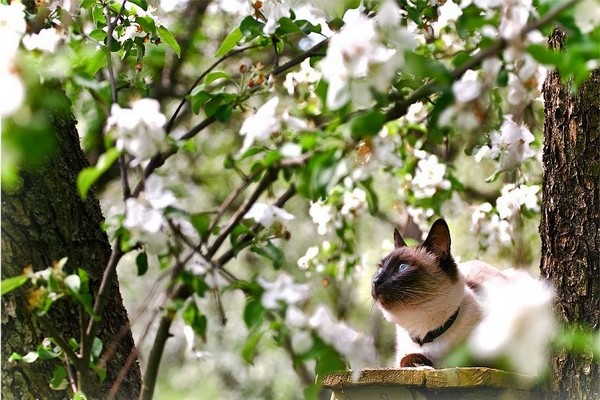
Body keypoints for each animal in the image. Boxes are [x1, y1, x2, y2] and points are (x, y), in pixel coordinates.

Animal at [372, 219, 548, 368]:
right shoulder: (403, 356)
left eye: (402, 267)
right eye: (380, 269)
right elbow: (407, 359)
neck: (425, 333)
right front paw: (421, 362)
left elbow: (467, 360)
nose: (375, 281)